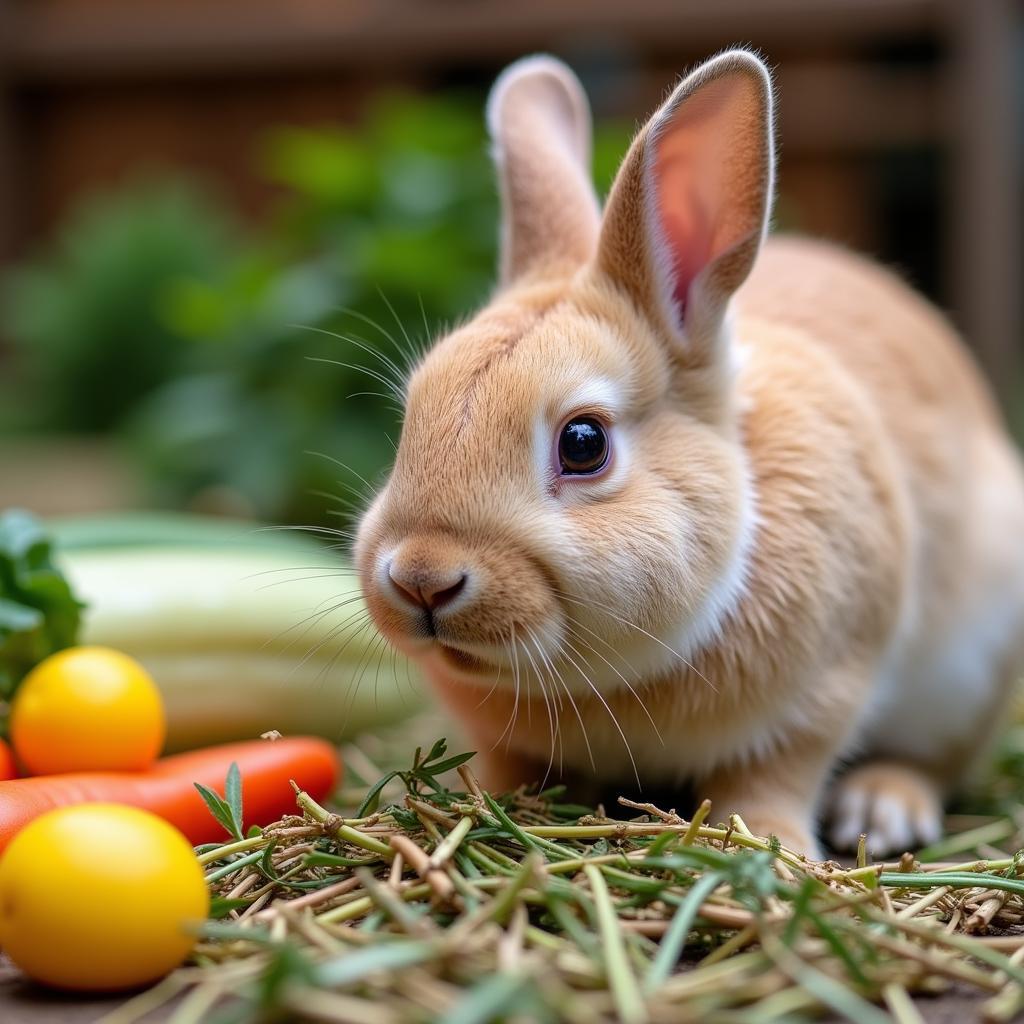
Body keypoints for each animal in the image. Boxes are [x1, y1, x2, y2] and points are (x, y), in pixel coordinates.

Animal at [356, 49, 1024, 864]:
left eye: (584, 443)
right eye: (410, 419)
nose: (421, 577)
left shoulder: (822, 691)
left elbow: (776, 774)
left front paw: (773, 844)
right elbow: (508, 765)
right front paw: (480, 800)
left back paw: (884, 807)